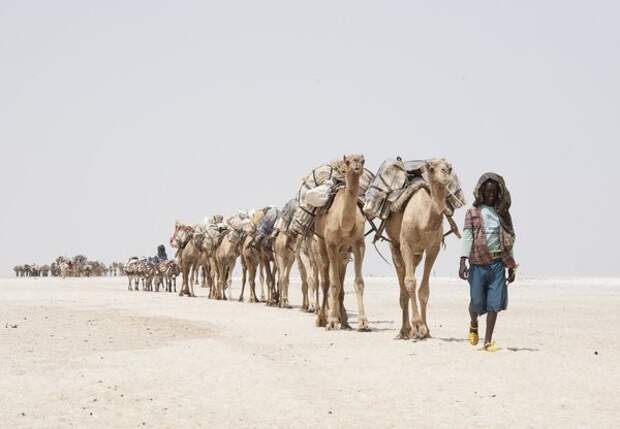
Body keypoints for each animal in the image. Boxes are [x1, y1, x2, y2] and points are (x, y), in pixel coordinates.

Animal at [314, 154, 368, 332]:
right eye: (348, 161)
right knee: (326, 281)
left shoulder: (359, 245)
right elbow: (334, 284)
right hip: (321, 245)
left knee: (339, 281)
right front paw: (331, 321)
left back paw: (343, 320)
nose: (357, 168)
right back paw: (322, 319)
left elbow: (358, 282)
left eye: (362, 160)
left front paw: (363, 323)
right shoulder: (331, 245)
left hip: (343, 254)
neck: (344, 224)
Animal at [386, 157, 462, 338]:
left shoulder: (433, 248)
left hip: (417, 254)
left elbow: (424, 289)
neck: (424, 221)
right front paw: (418, 325)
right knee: (402, 279)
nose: (445, 173)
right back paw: (405, 330)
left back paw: (409, 330)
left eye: (449, 167)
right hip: (395, 246)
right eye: (431, 167)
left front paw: (424, 329)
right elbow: (410, 282)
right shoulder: (406, 243)